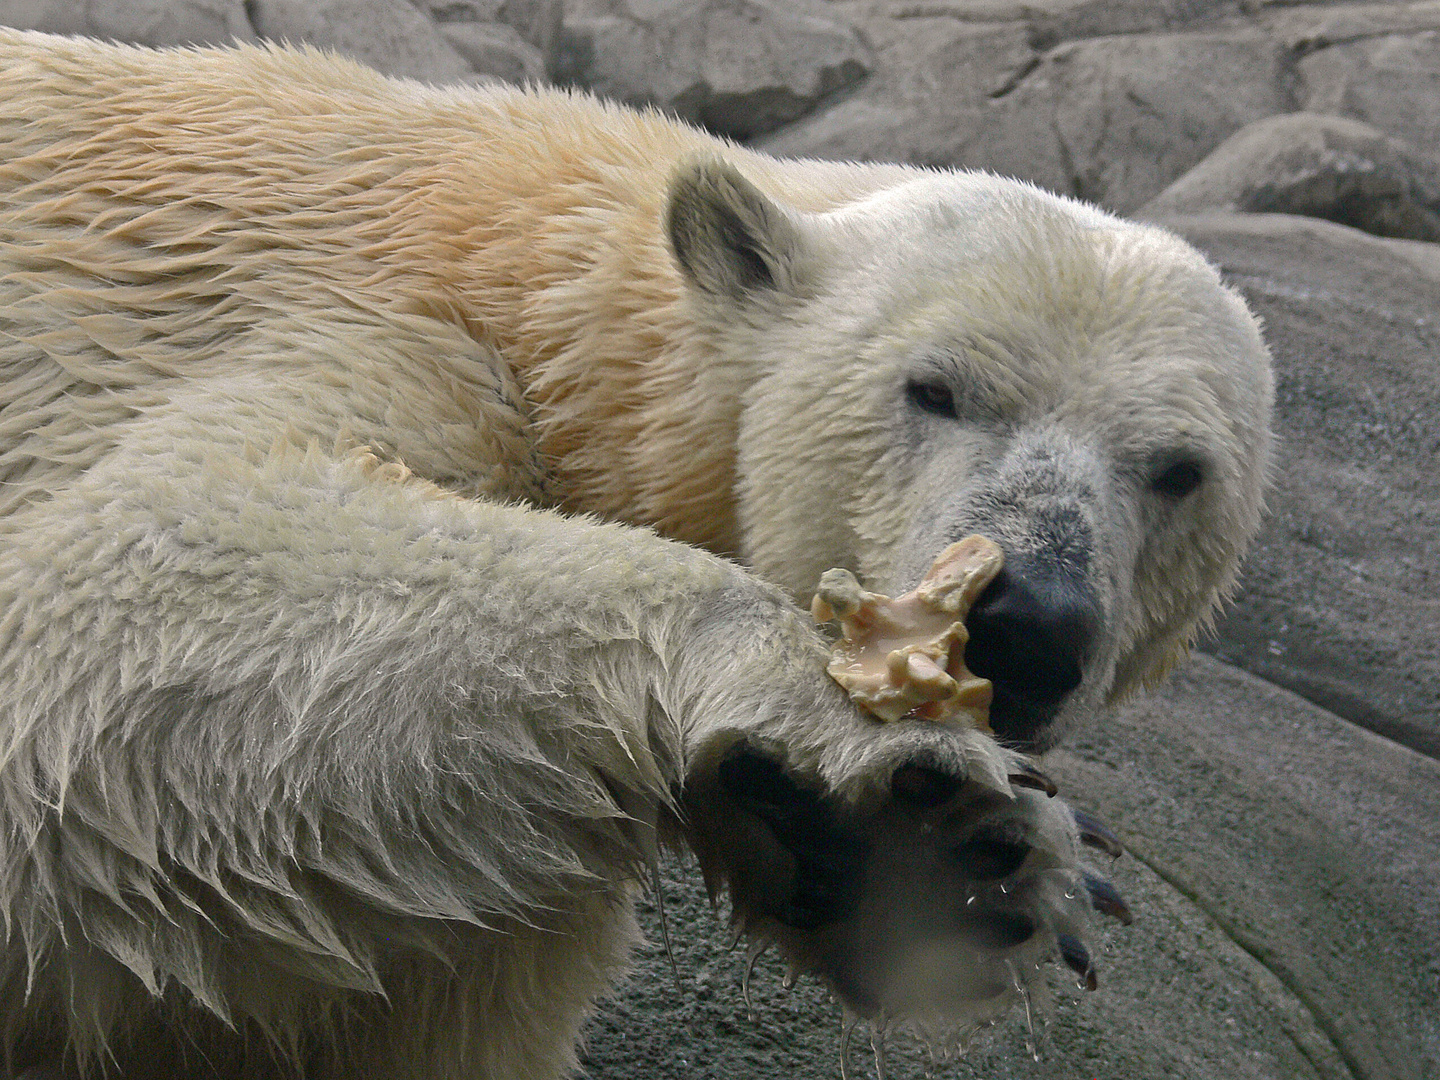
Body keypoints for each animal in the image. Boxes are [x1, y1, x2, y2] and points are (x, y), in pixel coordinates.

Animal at [2, 25, 1272, 1080]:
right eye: (937, 388)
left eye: (1179, 470)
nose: (1033, 629)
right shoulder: (348, 322)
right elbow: (127, 581)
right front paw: (882, 748)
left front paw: (950, 856)